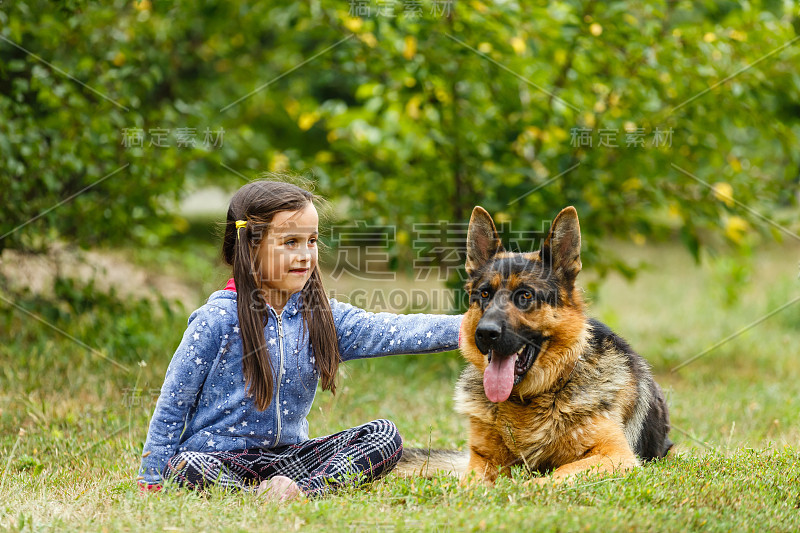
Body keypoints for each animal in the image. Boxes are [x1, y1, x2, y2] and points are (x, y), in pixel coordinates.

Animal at [398, 206, 668, 484]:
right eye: (484, 294)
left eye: (525, 295)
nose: (485, 333)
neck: (528, 398)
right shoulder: (483, 460)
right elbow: (472, 484)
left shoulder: (616, 455)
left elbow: (554, 475)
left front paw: (523, 487)